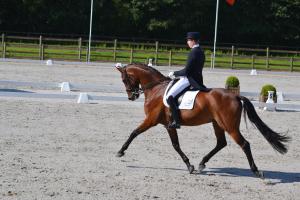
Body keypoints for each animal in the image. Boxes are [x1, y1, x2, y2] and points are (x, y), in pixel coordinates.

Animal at [114, 63, 288, 178]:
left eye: (124, 79)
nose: (131, 96)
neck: (156, 88)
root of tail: (236, 96)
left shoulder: (151, 120)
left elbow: (134, 132)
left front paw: (120, 151)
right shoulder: (169, 125)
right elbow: (176, 145)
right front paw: (189, 165)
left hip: (230, 126)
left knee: (244, 144)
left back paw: (256, 170)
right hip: (217, 124)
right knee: (221, 143)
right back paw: (202, 163)